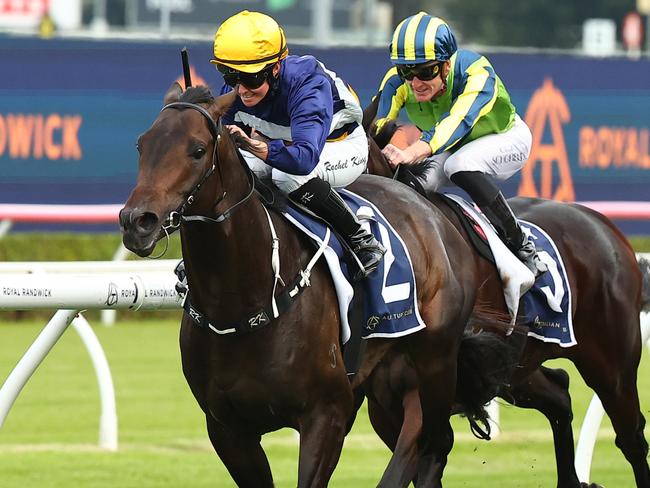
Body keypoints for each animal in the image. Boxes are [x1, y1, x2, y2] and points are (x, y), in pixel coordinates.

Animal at [117, 85, 516, 488]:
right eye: (141, 145)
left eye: (198, 150)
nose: (138, 222)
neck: (244, 303)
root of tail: (429, 209)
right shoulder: (227, 429)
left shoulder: (327, 414)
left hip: (435, 361)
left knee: (433, 443)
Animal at [362, 97, 648, 486]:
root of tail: (603, 223)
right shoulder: (382, 404)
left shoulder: (426, 394)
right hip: (516, 367)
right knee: (559, 392)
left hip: (612, 363)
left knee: (631, 437)